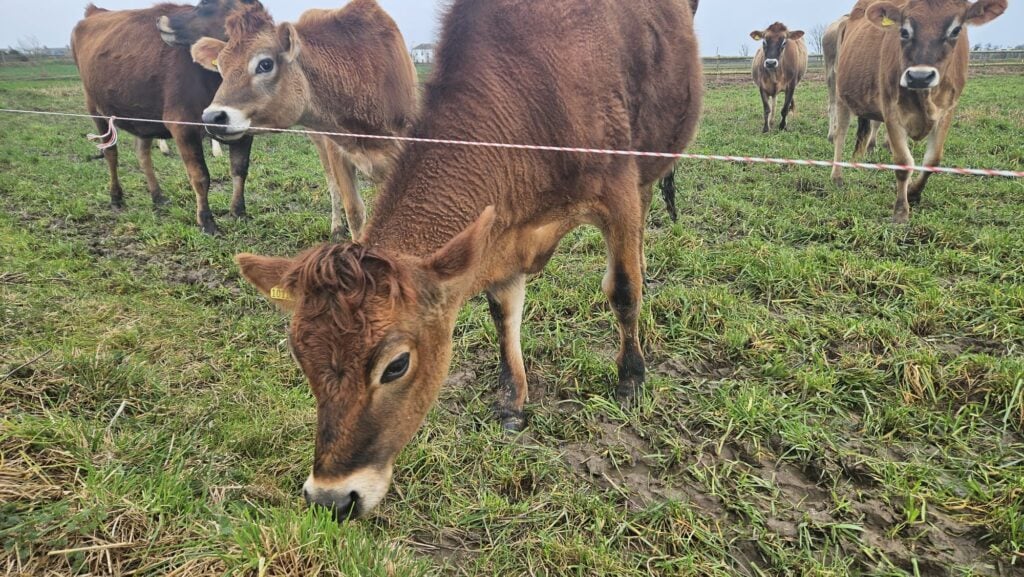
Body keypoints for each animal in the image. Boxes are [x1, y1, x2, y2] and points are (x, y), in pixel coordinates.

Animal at [71, 0, 256, 235]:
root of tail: (95, 11)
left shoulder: (244, 129)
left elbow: (240, 169)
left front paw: (238, 212)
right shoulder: (182, 125)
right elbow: (200, 176)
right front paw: (206, 221)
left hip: (143, 114)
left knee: (142, 154)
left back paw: (157, 196)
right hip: (95, 107)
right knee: (111, 153)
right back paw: (116, 197)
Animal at [188, 0, 419, 240]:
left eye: (265, 64)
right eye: (221, 67)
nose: (211, 117)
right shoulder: (337, 150)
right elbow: (354, 212)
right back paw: (337, 227)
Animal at [234, 0, 702, 519]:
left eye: (396, 365)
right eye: (300, 356)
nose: (332, 498)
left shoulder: (617, 189)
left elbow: (621, 289)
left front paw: (631, 380)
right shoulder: (499, 237)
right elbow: (505, 314)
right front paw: (512, 402)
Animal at [831, 0, 1007, 223]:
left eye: (956, 30)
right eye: (904, 31)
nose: (919, 76)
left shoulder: (947, 111)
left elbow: (933, 159)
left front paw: (914, 193)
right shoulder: (891, 110)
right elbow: (903, 162)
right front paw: (900, 212)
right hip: (839, 91)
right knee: (841, 133)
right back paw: (837, 176)